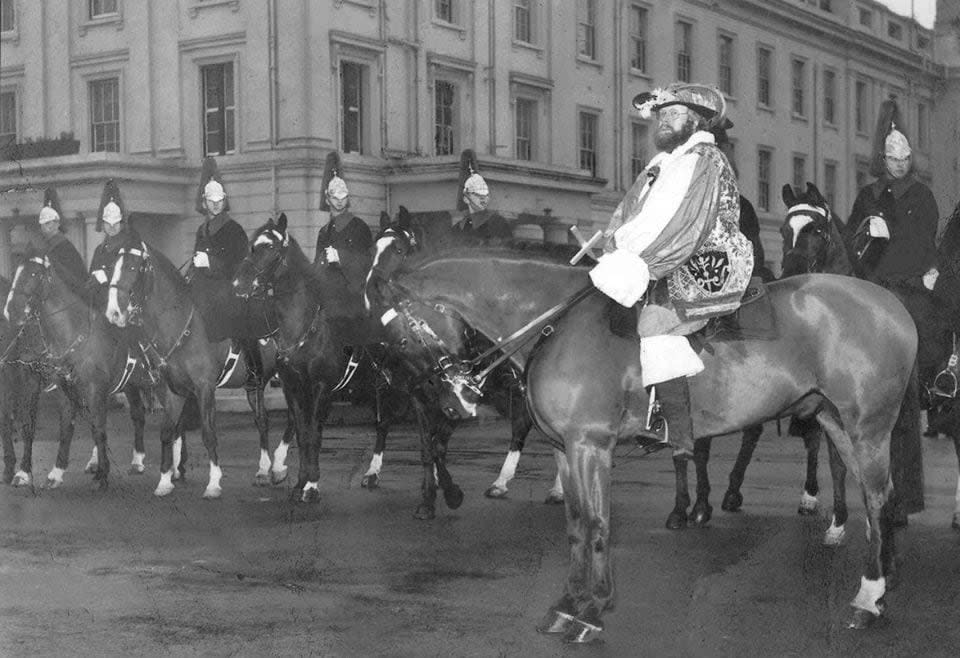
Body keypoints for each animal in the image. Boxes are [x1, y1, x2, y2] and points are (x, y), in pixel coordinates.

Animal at [2, 251, 156, 486]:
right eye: (15, 273)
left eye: (34, 273)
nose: (11, 310)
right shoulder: (52, 386)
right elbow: (59, 426)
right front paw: (44, 472)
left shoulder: (92, 388)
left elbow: (97, 428)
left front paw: (103, 474)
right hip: (128, 385)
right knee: (137, 414)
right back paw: (134, 461)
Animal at [105, 238, 286, 494]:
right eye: (112, 267)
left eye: (132, 266)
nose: (113, 312)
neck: (181, 327)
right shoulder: (173, 389)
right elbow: (168, 430)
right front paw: (165, 480)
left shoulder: (204, 387)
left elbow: (208, 433)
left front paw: (213, 482)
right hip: (254, 385)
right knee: (262, 420)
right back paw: (263, 471)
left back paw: (279, 467)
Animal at [232, 214, 464, 512]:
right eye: (252, 245)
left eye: (271, 247)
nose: (238, 284)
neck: (305, 324)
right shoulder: (292, 387)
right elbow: (302, 432)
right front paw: (298, 483)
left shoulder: (321, 387)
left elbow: (314, 434)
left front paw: (311, 486)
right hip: (383, 384)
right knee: (384, 424)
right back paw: (373, 473)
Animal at [366, 208, 564, 500]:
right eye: (374, 247)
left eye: (399, 249)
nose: (372, 290)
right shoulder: (416, 391)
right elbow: (422, 439)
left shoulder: (467, 391)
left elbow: (439, 438)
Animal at [386, 245, 920, 636]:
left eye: (404, 337)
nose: (447, 401)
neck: (553, 324)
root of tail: (894, 306)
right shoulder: (564, 451)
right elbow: (576, 524)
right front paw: (569, 602)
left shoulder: (590, 446)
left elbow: (598, 523)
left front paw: (593, 609)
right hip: (836, 422)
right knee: (878, 498)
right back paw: (879, 587)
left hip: (867, 426)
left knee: (877, 498)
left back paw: (868, 596)